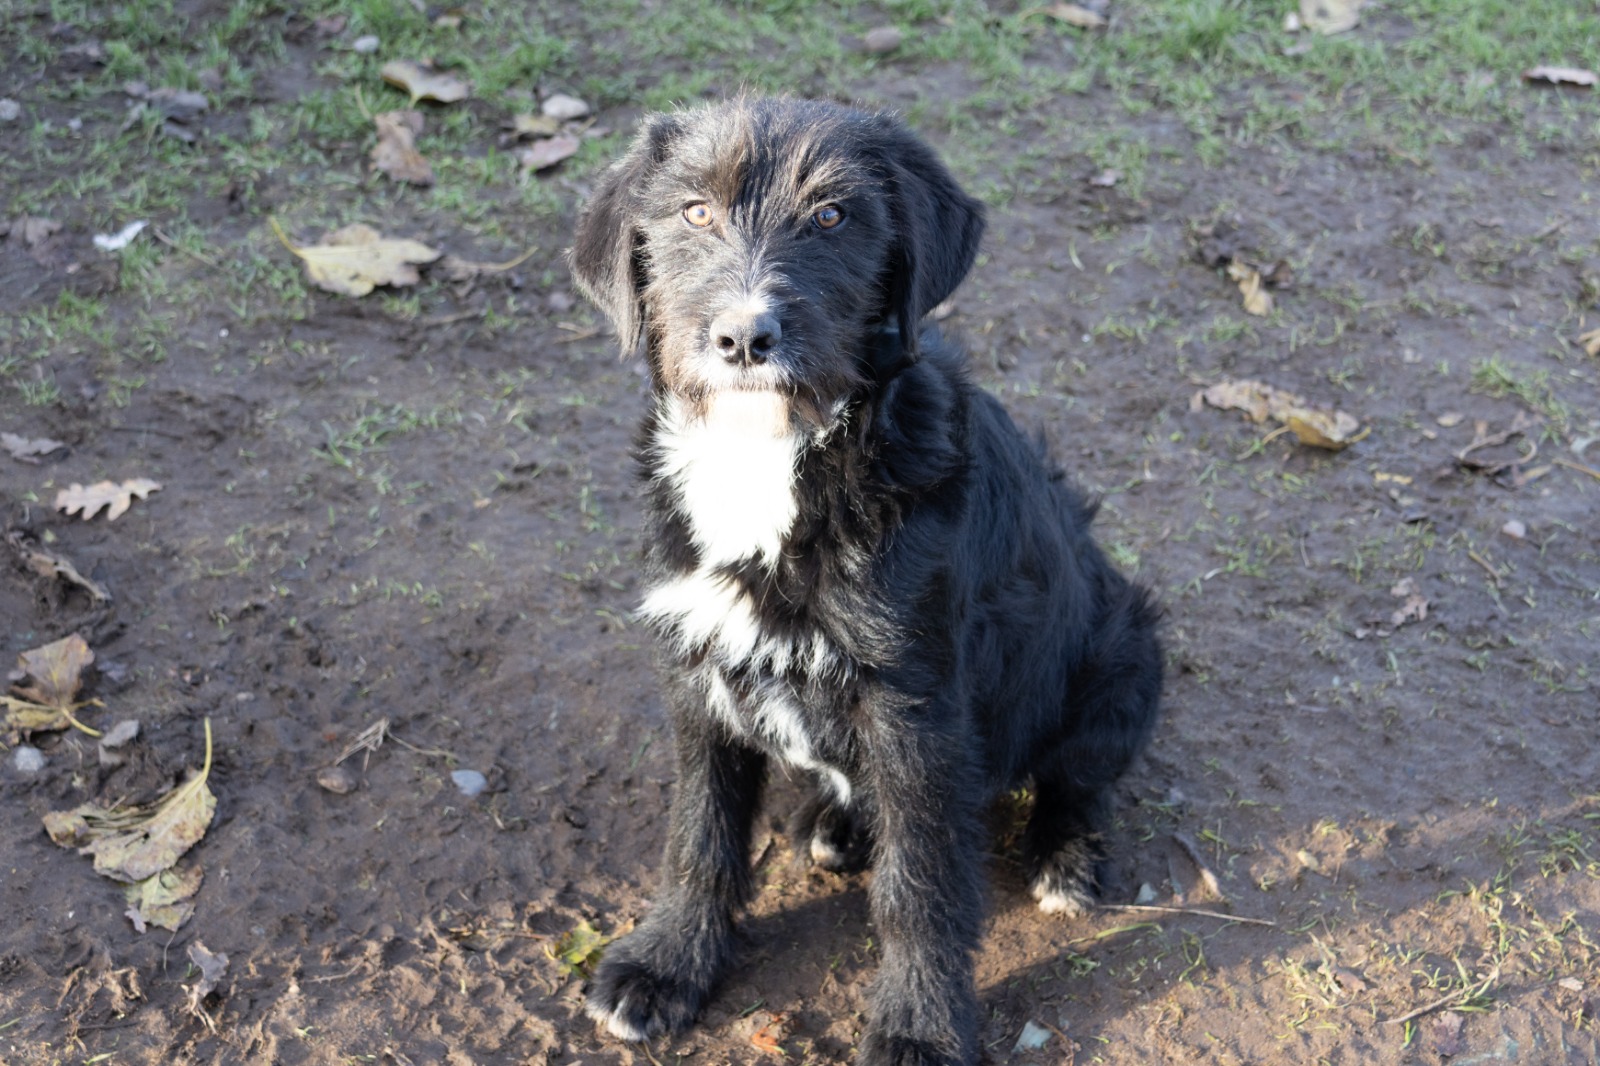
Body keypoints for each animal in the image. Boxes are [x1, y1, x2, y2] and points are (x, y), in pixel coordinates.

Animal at [570, 97, 1162, 1066]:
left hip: (1123, 653)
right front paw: (668, 962)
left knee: (1078, 775)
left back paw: (1066, 855)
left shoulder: (913, 710)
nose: (744, 338)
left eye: (831, 216)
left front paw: (919, 1024)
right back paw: (837, 824)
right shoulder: (698, 672)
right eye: (695, 211)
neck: (774, 459)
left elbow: (919, 885)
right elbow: (700, 833)